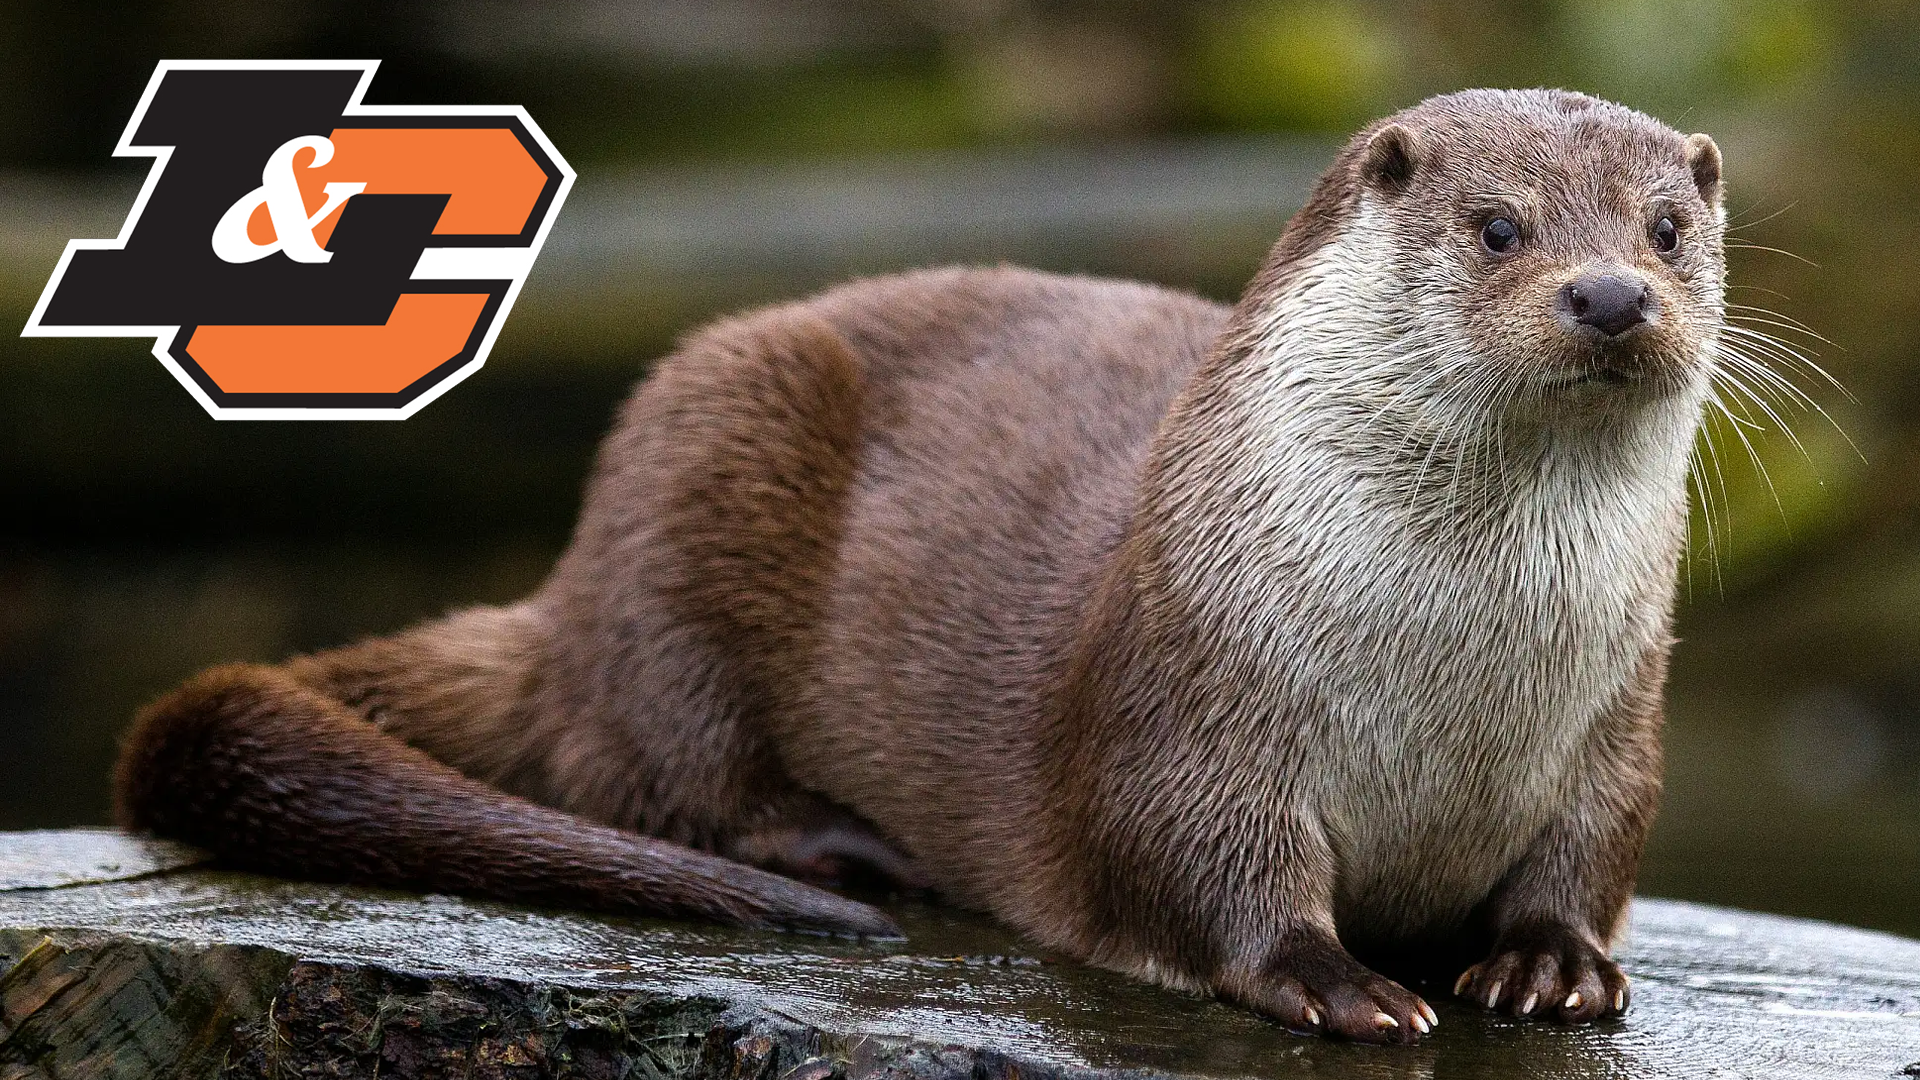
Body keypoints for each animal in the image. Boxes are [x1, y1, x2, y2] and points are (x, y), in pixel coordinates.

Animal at [115, 88, 1728, 1044]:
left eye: (1669, 229)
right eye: (1498, 226)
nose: (1610, 295)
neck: (1454, 680)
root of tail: (568, 594)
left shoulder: (1620, 721)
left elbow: (1596, 849)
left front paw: (1549, 965)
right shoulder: (1188, 696)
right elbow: (1195, 861)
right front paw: (1341, 983)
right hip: (698, 462)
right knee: (645, 764)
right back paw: (837, 850)